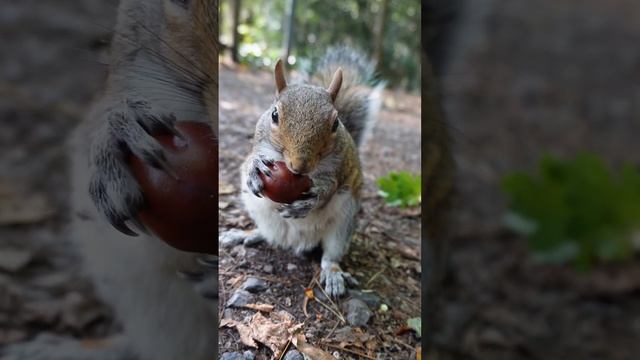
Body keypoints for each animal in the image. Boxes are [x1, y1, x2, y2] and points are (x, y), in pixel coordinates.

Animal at [222, 46, 382, 296]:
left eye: (335, 123)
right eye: (274, 114)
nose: (299, 166)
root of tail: (296, 241)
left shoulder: (338, 167)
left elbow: (329, 186)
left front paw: (311, 200)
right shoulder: (258, 144)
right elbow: (249, 160)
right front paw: (254, 167)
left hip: (344, 220)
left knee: (330, 255)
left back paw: (333, 275)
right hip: (258, 210)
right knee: (269, 235)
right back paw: (244, 234)